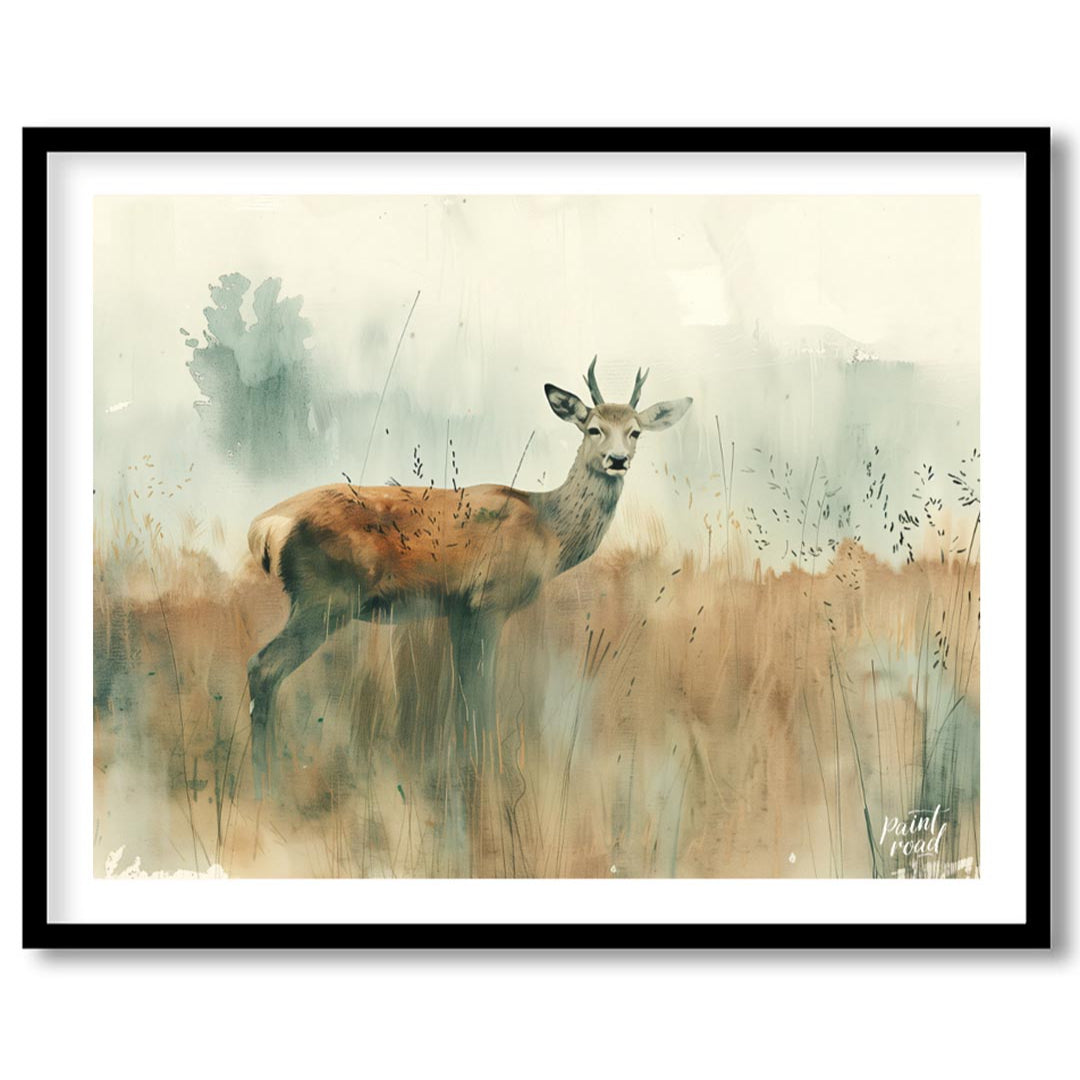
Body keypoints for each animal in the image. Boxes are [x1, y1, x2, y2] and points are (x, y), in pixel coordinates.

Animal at [245, 358, 692, 799]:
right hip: (326, 596)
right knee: (263, 668)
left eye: (635, 431)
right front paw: (488, 774)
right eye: (593, 428)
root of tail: (267, 525)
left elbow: (462, 691)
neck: (548, 531)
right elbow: (480, 692)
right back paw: (266, 784)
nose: (617, 459)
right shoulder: (489, 600)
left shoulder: (460, 609)